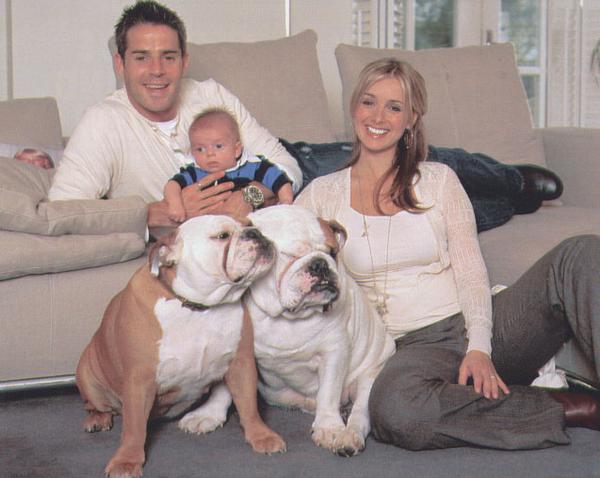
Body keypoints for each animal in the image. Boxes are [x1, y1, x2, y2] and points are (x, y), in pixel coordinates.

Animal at [76, 215, 275, 478]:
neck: (199, 307)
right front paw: (127, 460)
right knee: (95, 404)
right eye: (222, 236)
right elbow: (134, 427)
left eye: (251, 225)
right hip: (87, 374)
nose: (256, 233)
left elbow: (249, 404)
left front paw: (261, 435)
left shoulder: (241, 364)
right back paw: (98, 419)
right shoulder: (140, 379)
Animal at [246, 205, 395, 456]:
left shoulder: (334, 353)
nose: (320, 263)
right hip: (276, 395)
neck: (289, 317)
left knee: (359, 414)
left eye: (332, 252)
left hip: (369, 379)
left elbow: (328, 392)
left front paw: (329, 428)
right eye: (291, 256)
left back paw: (348, 436)